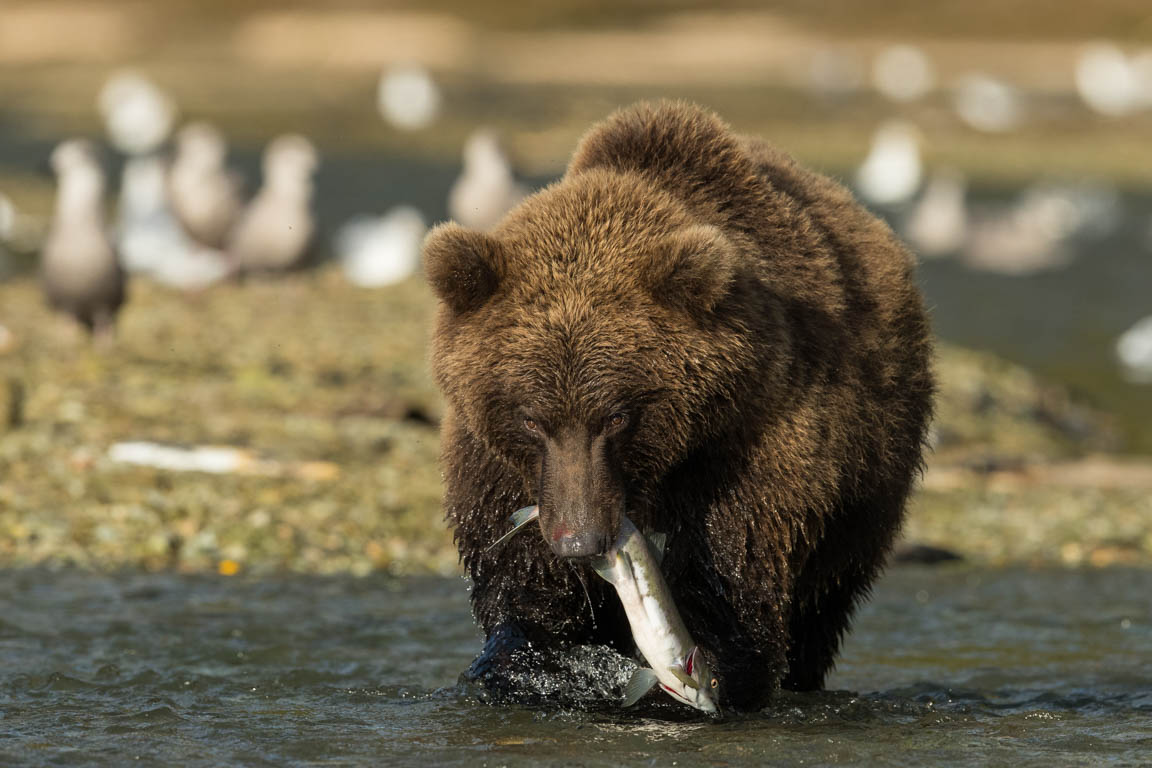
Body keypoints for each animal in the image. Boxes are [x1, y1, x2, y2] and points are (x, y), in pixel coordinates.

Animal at [423, 99, 935, 713]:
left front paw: (712, 669)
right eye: (531, 418)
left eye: (617, 415)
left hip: (867, 478)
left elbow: (735, 573)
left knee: (824, 601)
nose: (581, 540)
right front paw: (532, 663)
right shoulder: (501, 470)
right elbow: (521, 582)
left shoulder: (755, 443)